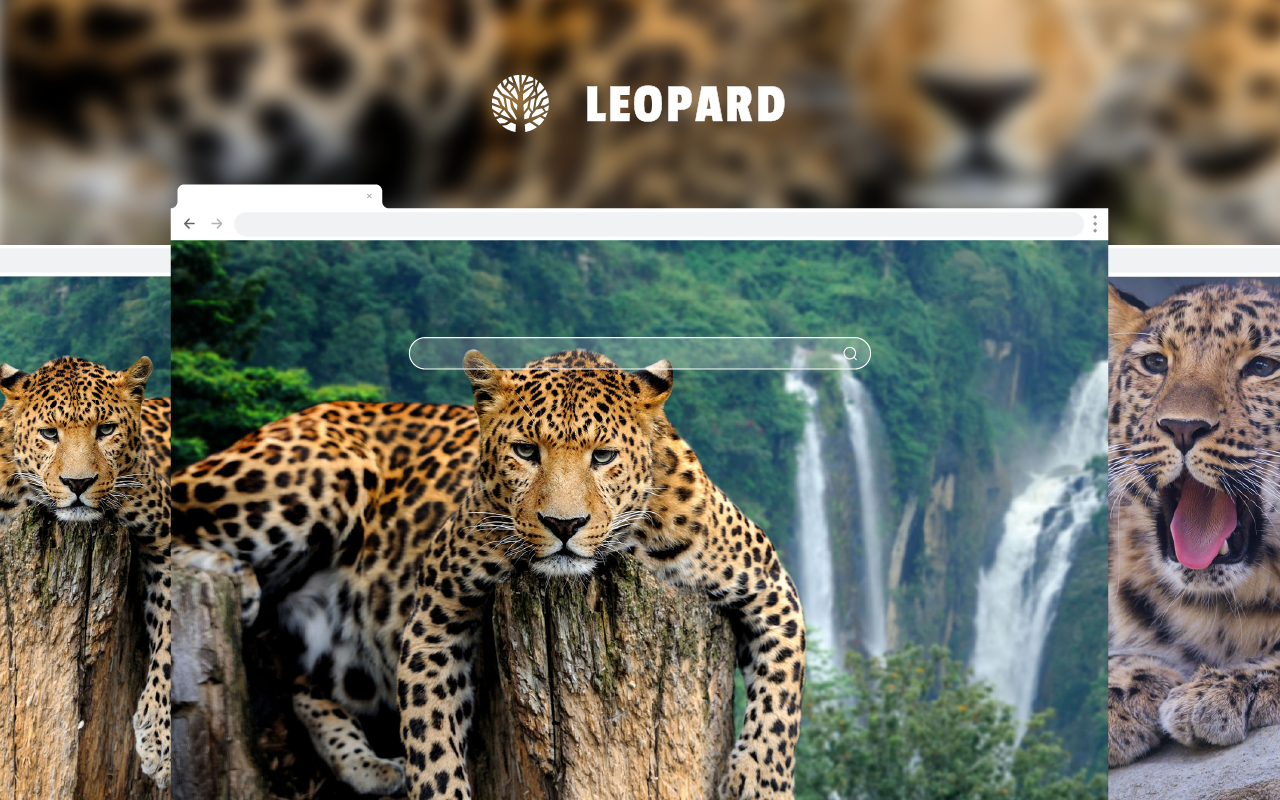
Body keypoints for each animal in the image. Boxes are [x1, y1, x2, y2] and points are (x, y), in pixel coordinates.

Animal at [0, 356, 172, 788]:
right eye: (49, 433)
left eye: (106, 429)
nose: (78, 483)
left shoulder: (163, 528)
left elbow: (170, 631)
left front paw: (160, 739)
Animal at [172, 350, 805, 799]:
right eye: (525, 451)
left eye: (603, 456)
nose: (564, 524)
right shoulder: (436, 613)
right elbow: (432, 741)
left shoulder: (772, 588)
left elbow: (781, 705)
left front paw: (759, 783)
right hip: (317, 472)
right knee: (165, 507)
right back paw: (234, 579)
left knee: (306, 690)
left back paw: (371, 767)